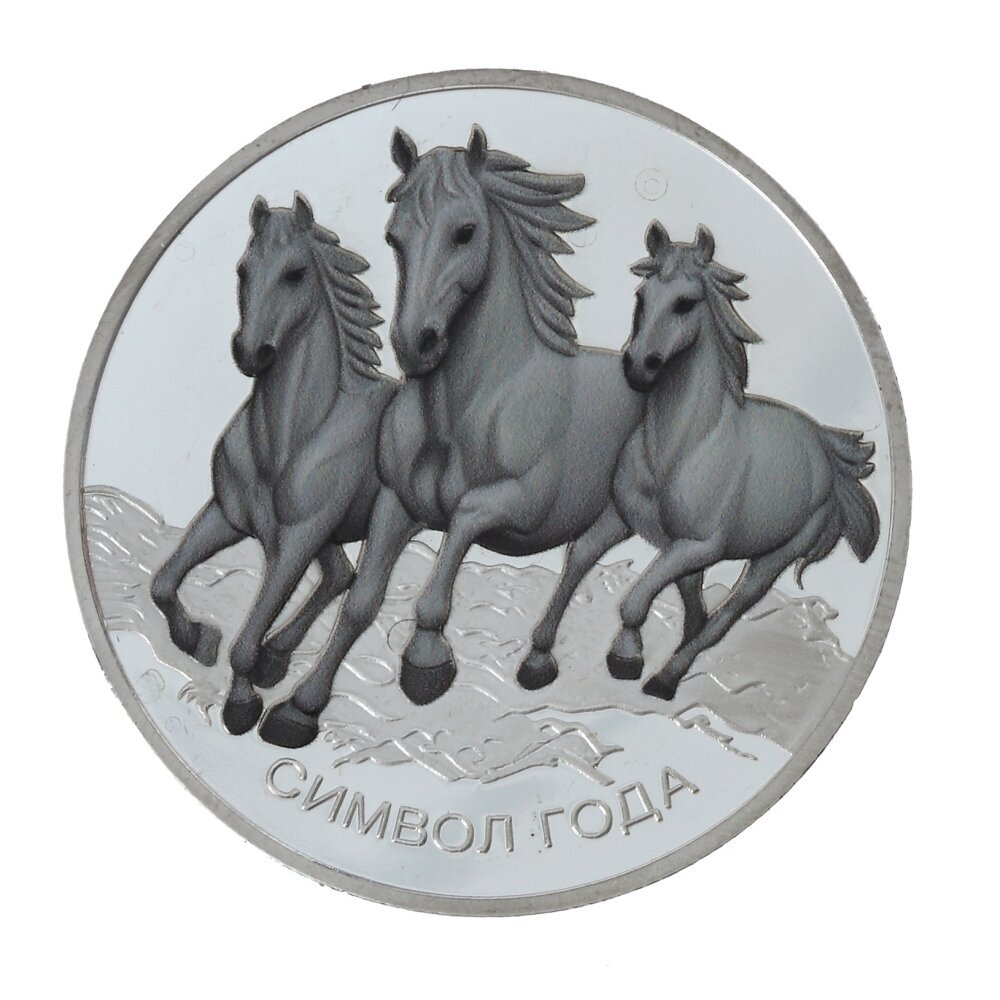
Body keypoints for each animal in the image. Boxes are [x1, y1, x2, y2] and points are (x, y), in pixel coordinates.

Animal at [150, 193, 397, 735]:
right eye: (243, 270)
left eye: (295, 273)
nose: (251, 353)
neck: (290, 437)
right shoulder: (228, 516)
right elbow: (162, 583)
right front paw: (197, 640)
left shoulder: (296, 539)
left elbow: (244, 643)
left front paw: (242, 706)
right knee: (341, 576)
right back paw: (277, 658)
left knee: (356, 593)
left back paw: (291, 698)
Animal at [258, 125, 653, 749]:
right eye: (394, 237)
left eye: (465, 231)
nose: (414, 345)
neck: (466, 409)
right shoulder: (396, 505)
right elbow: (360, 602)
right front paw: (299, 709)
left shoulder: (515, 505)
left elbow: (460, 527)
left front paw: (425, 661)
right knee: (600, 563)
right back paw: (556, 661)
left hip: (628, 515)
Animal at [607, 219, 880, 700]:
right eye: (641, 297)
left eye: (685, 302)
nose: (639, 367)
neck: (680, 448)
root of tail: (823, 446)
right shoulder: (671, 543)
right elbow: (678, 601)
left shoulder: (699, 545)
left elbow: (638, 600)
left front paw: (626, 658)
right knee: (704, 619)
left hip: (774, 558)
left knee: (727, 617)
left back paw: (664, 680)